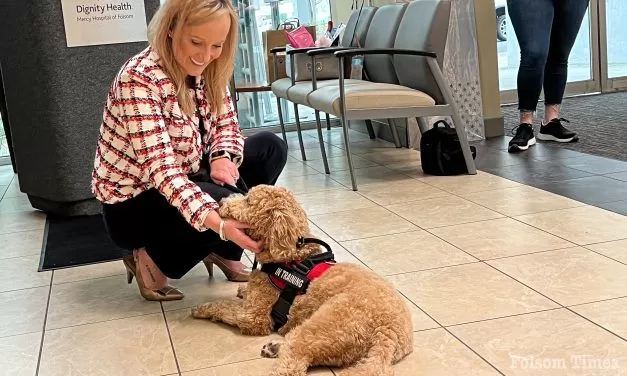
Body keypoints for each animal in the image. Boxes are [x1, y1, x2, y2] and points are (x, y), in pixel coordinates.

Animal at [193, 186, 418, 376]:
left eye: (248, 201)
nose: (220, 202)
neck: (291, 255)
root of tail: (388, 333)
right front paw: (242, 289)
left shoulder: (253, 317)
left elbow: (224, 306)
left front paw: (203, 308)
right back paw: (275, 347)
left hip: (322, 327)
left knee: (293, 363)